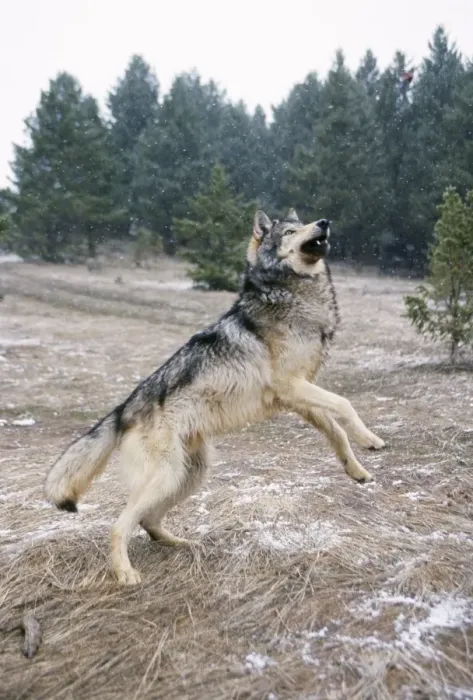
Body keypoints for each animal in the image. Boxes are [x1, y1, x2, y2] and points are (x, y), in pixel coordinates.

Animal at [45, 209, 385, 585]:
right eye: (291, 231)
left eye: (307, 221)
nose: (324, 222)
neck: (291, 295)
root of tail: (123, 409)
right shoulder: (292, 386)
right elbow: (345, 404)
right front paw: (370, 439)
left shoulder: (299, 397)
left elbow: (336, 431)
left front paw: (357, 469)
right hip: (167, 476)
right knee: (119, 526)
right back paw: (126, 574)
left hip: (189, 475)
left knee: (148, 520)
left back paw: (182, 544)